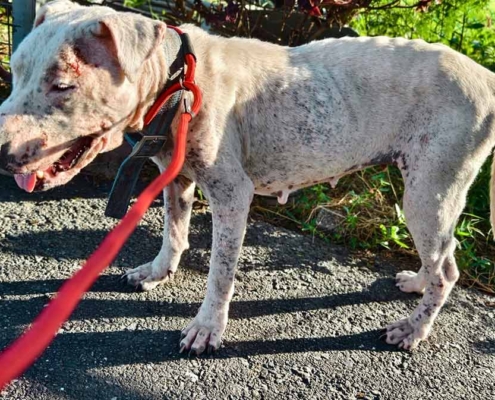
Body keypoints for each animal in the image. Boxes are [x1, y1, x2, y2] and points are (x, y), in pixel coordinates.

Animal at [1, 0, 494, 355]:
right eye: (17, 70)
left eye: (63, 85)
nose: (2, 154)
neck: (177, 79)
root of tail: (485, 77)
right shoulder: (175, 177)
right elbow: (174, 231)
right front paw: (158, 271)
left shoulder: (232, 195)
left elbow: (220, 271)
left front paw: (207, 328)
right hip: (430, 194)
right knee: (442, 256)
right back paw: (417, 281)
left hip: (430, 190)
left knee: (448, 269)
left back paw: (413, 330)